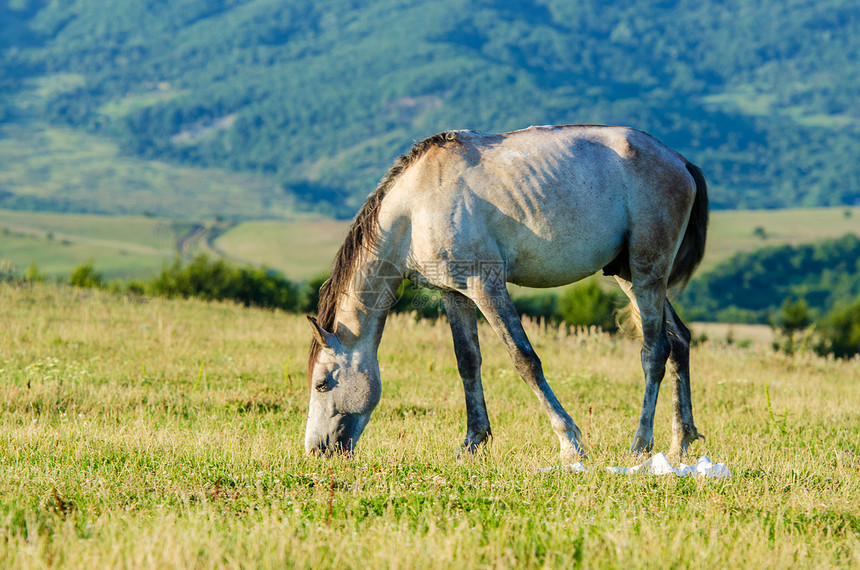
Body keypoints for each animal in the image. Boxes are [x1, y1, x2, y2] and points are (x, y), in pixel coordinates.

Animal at [306, 124, 708, 462]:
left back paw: (640, 444)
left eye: (322, 383)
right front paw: (472, 442)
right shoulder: (455, 294)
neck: (415, 208)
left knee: (655, 352)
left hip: (646, 272)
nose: (316, 450)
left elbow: (524, 359)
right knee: (679, 341)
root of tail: (680, 161)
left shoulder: (486, 285)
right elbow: (467, 363)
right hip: (630, 276)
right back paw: (681, 442)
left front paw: (569, 442)